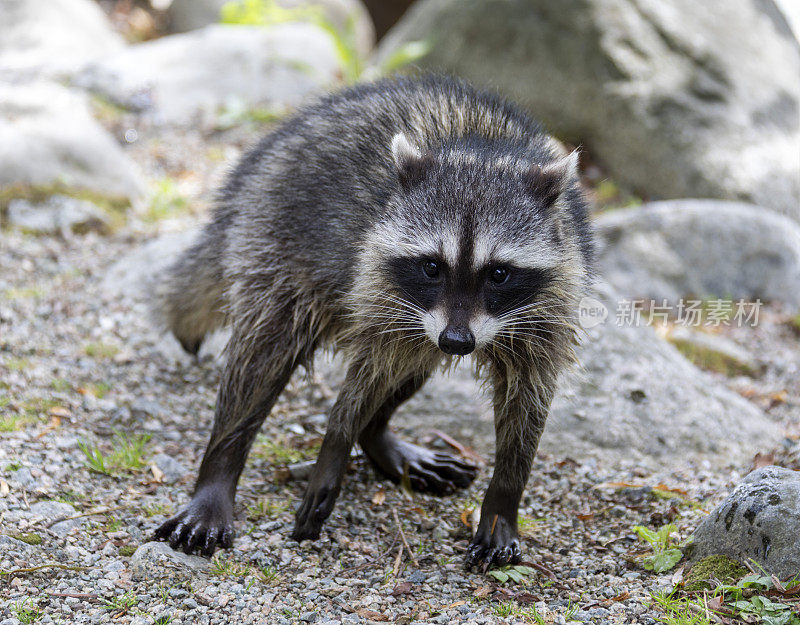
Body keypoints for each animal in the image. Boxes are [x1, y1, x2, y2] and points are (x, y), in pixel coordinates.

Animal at [155, 75, 592, 568]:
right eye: (432, 266)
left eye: (499, 273)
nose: (457, 341)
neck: (481, 151)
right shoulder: (377, 281)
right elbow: (365, 373)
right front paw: (337, 439)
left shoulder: (553, 299)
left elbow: (528, 397)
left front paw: (504, 497)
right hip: (274, 240)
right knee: (264, 356)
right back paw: (222, 464)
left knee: (413, 361)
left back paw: (375, 433)